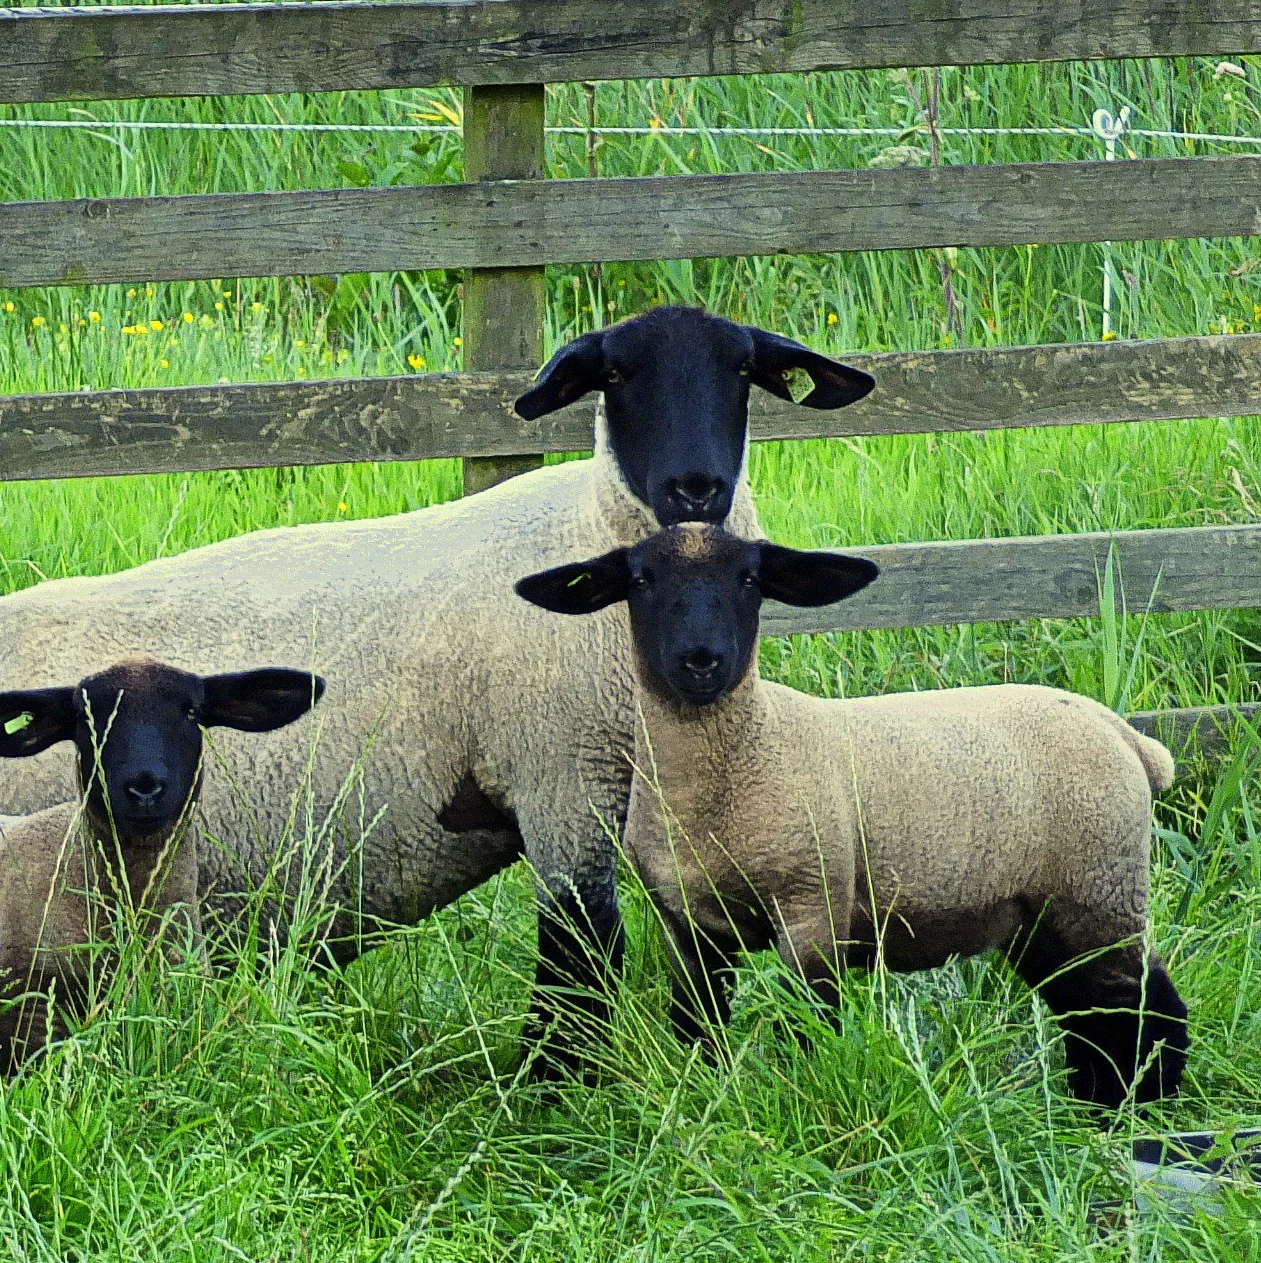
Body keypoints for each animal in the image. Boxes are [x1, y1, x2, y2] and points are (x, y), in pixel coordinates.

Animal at [515, 524, 1189, 1109]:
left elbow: (807, 1024)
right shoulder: (686, 922)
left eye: (750, 579)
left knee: (1140, 1004)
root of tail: (1126, 736)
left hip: (1097, 886)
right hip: (1040, 911)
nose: (701, 660)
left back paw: (1136, 1111)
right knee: (1088, 1008)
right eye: (640, 580)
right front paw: (708, 1094)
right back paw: (1094, 1107)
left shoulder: (814, 907)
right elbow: (697, 1025)